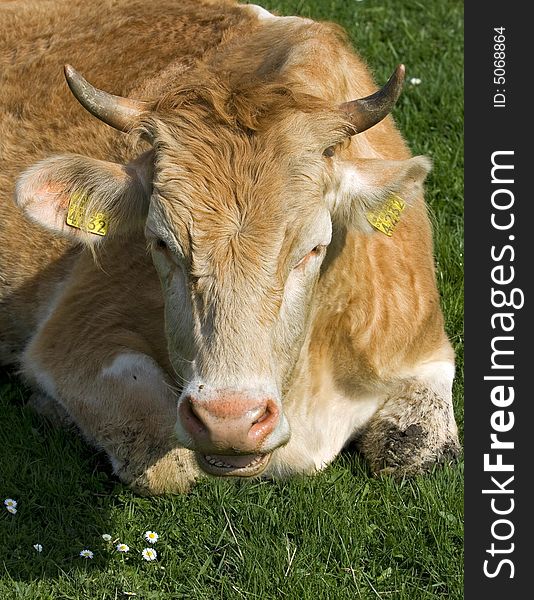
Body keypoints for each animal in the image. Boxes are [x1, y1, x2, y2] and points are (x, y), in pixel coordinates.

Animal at [0, 0, 460, 494]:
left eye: (313, 249)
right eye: (160, 242)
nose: (230, 421)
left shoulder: (422, 347)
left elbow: (420, 452)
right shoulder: (75, 335)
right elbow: (166, 462)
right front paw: (49, 407)